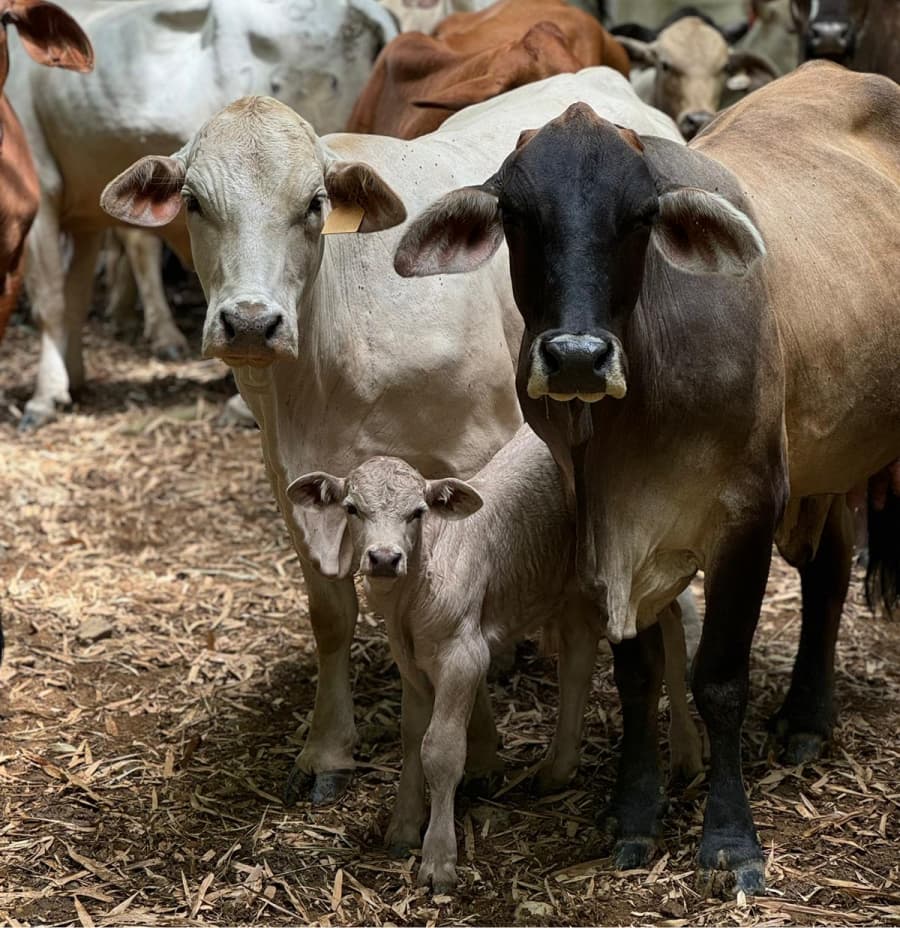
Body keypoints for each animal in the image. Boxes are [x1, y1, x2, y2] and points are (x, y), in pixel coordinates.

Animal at [99, 68, 684, 806]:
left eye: (314, 202)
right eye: (194, 202)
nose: (251, 323)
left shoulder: (476, 447)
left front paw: (481, 749)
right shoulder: (290, 476)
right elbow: (330, 616)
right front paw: (326, 749)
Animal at [288, 427, 702, 893]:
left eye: (417, 513)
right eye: (352, 508)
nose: (384, 558)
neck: (412, 598)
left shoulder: (464, 655)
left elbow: (441, 749)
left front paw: (438, 860)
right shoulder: (410, 662)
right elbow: (412, 736)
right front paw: (403, 828)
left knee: (669, 625)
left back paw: (687, 750)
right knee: (580, 653)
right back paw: (557, 769)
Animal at [393, 61, 900, 895]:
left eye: (637, 217)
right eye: (519, 215)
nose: (576, 356)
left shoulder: (748, 515)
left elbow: (718, 678)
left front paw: (730, 841)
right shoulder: (600, 531)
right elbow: (635, 673)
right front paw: (634, 814)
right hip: (827, 461)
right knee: (828, 571)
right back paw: (805, 719)